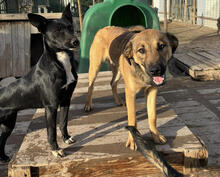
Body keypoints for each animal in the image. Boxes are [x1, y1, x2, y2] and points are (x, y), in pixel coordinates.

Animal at [0, 3, 79, 162]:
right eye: (57, 30)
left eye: (71, 27)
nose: (76, 41)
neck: (60, 61)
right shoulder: (51, 106)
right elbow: (51, 132)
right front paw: (56, 150)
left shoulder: (66, 100)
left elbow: (63, 122)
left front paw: (66, 138)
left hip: (8, 124)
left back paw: (3, 157)